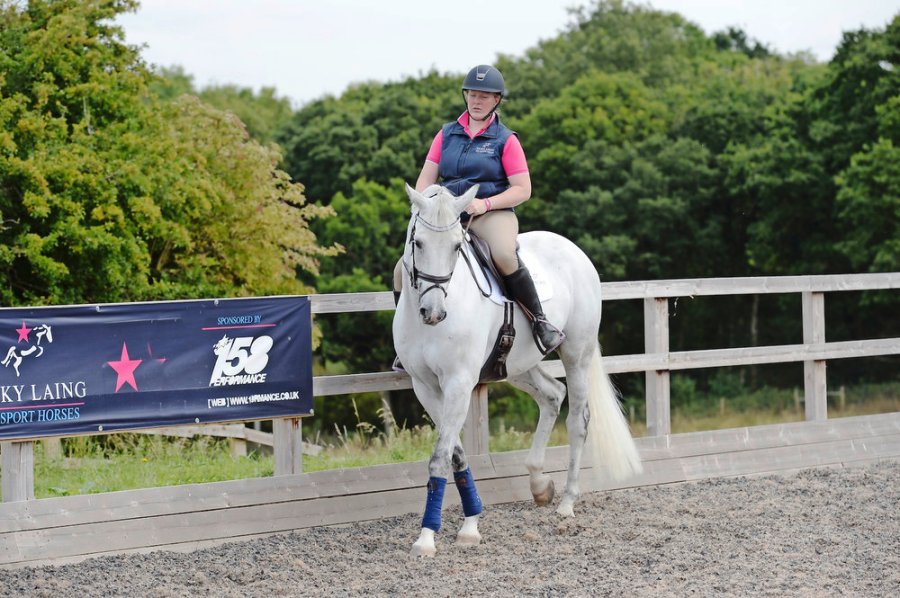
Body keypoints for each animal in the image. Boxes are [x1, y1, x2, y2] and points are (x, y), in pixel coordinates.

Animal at [392, 186, 640, 556]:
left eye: (456, 247)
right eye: (418, 242)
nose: (433, 313)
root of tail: (573, 249)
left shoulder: (459, 383)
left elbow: (440, 456)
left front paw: (428, 537)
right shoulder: (425, 386)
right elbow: (455, 453)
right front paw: (470, 523)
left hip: (576, 354)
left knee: (578, 420)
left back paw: (567, 502)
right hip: (517, 364)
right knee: (552, 395)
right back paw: (540, 484)